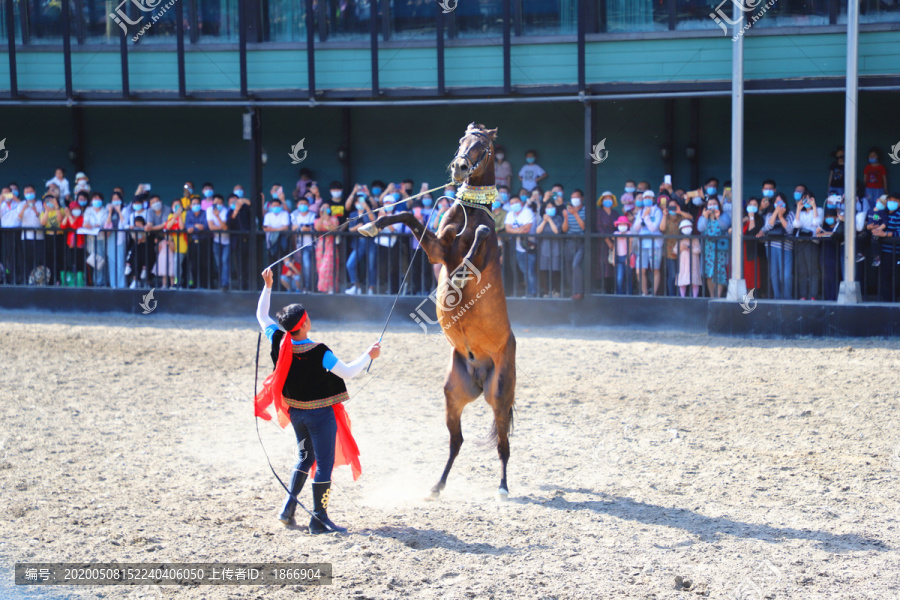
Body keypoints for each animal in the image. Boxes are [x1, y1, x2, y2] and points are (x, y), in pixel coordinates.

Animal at [356, 120, 516, 496]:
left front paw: (457, 278)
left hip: (500, 394)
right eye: (461, 139)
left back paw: (503, 487)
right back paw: (437, 485)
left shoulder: (477, 253)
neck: (471, 210)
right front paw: (369, 225)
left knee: (503, 444)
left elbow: (481, 233)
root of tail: (479, 374)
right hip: (453, 394)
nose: (459, 166)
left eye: (483, 146)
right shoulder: (437, 249)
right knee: (456, 442)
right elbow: (406, 215)